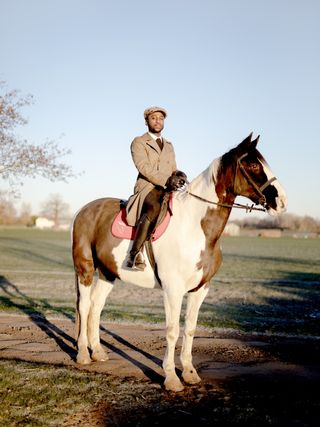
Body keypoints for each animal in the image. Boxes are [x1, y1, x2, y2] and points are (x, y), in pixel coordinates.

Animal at [72, 134, 288, 392]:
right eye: (254, 165)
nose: (282, 201)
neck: (195, 227)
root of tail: (85, 210)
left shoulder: (200, 289)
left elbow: (190, 329)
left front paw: (189, 372)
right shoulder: (172, 290)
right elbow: (172, 331)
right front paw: (171, 377)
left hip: (108, 273)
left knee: (96, 307)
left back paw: (98, 352)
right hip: (85, 268)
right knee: (84, 306)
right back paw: (83, 355)